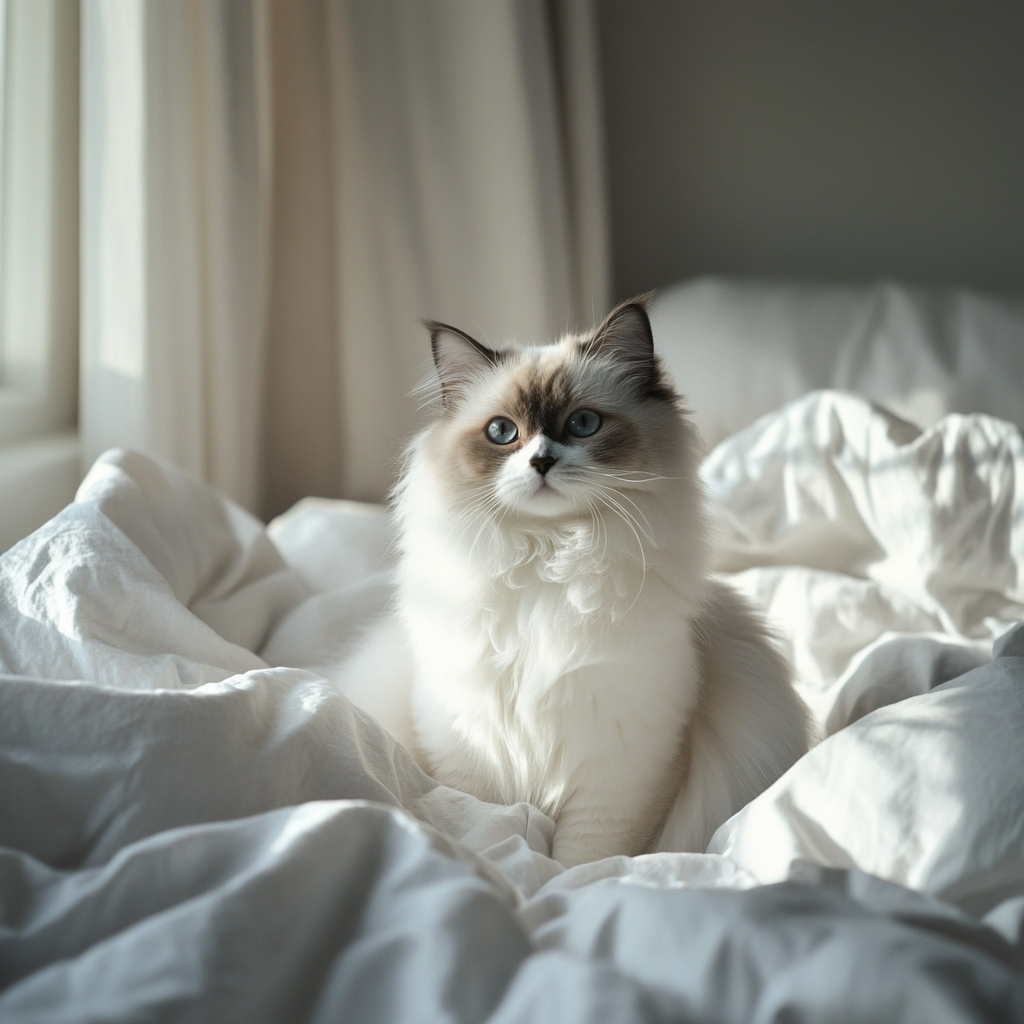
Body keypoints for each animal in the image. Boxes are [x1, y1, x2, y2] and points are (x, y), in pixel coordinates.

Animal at [331, 294, 811, 864]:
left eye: (582, 424)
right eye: (502, 432)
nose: (541, 460)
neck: (550, 561)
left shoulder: (621, 768)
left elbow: (583, 864)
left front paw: (559, 879)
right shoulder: (471, 747)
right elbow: (487, 830)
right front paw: (500, 867)